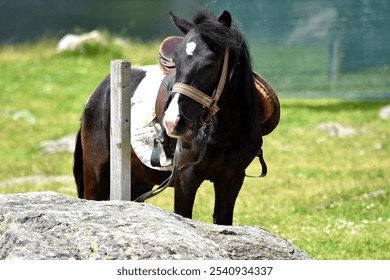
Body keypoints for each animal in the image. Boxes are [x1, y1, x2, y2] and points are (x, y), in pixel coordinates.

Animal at [73, 9, 278, 225]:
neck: (227, 130)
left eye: (210, 63)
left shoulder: (232, 178)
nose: (173, 122)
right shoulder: (187, 178)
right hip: (97, 176)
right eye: (176, 61)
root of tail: (97, 94)